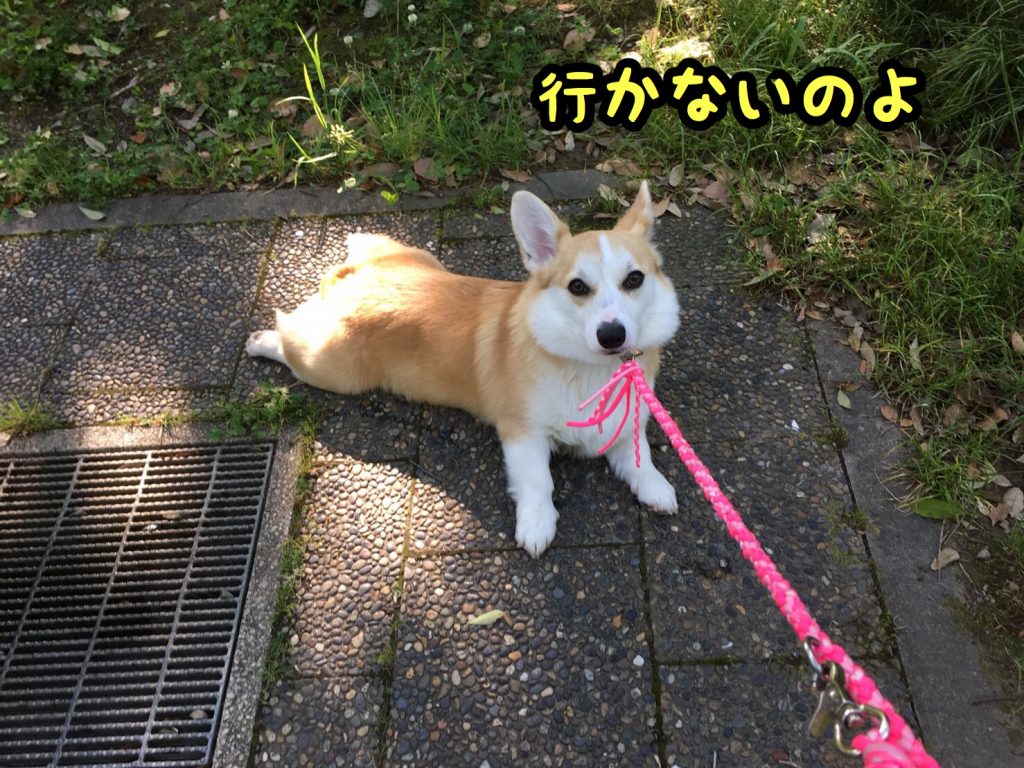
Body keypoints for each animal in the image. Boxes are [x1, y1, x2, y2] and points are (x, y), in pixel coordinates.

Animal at [246, 182, 680, 556]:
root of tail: (348, 282)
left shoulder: (625, 426)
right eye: (577, 287)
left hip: (418, 259)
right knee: (289, 337)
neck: (590, 369)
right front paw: (537, 524)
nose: (612, 335)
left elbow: (640, 458)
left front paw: (656, 488)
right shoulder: (522, 434)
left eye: (634, 279)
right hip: (329, 369)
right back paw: (261, 341)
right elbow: (537, 481)